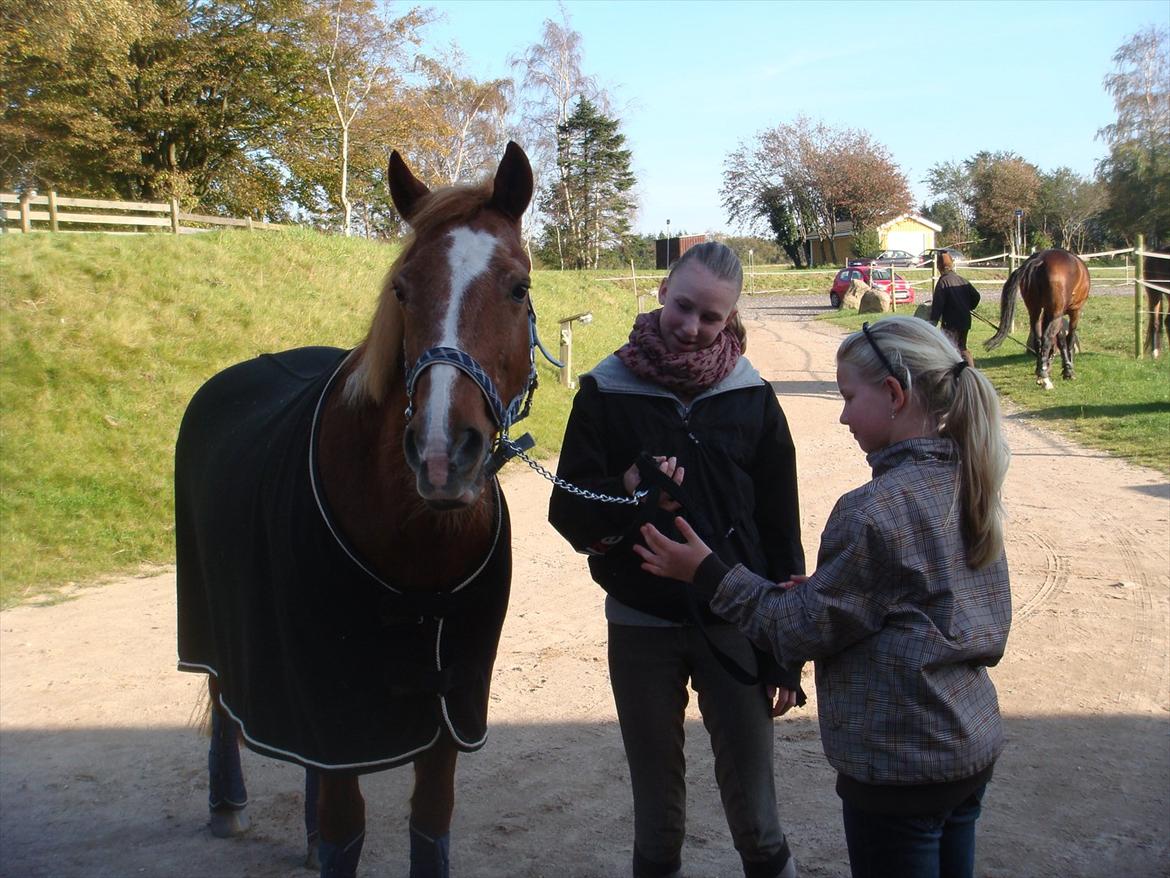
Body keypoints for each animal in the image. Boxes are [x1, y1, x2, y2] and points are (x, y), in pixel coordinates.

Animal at [175, 141, 540, 875]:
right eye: (402, 288)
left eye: (518, 287)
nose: (441, 454)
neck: (418, 539)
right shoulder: (332, 706)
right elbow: (348, 829)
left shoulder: (446, 709)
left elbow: (430, 822)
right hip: (217, 628)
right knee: (223, 702)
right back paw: (226, 804)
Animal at [982, 245, 1090, 386]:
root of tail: (1040, 259)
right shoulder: (1073, 311)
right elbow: (1069, 340)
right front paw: (1068, 370)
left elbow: (1060, 340)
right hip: (1056, 313)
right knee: (1047, 338)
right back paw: (1043, 375)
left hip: (1035, 311)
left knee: (1038, 338)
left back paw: (1041, 372)